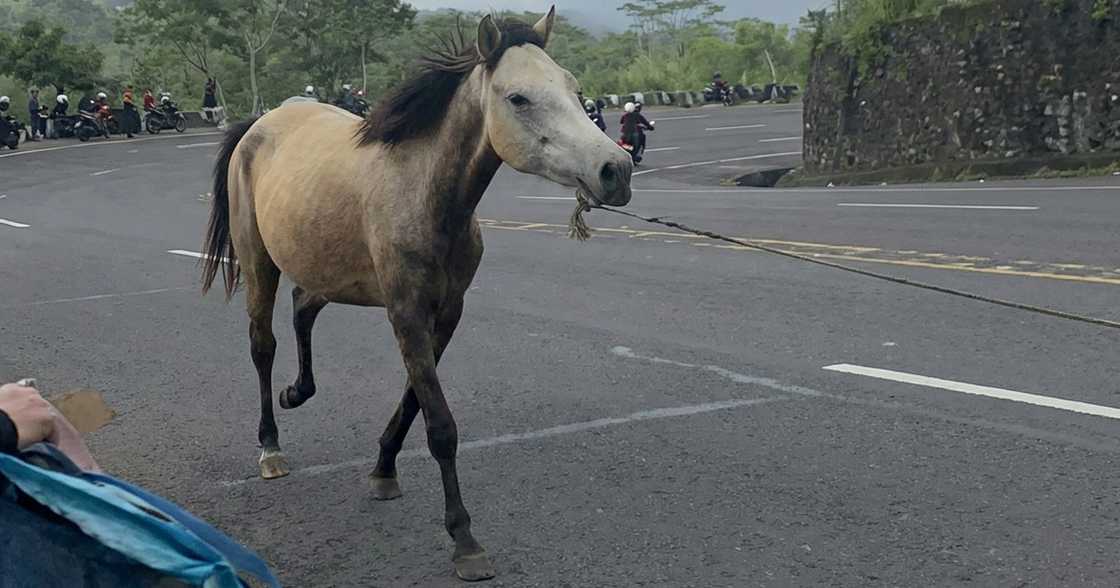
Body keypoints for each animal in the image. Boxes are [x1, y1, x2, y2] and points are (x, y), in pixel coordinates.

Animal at [199, 8, 633, 581]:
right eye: (518, 98)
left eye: (573, 87)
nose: (616, 170)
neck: (424, 193)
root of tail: (260, 123)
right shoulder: (405, 311)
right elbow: (440, 425)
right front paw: (465, 540)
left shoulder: (445, 313)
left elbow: (412, 400)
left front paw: (384, 469)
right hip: (257, 263)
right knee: (262, 345)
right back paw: (269, 446)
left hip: (325, 270)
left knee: (303, 309)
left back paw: (298, 391)